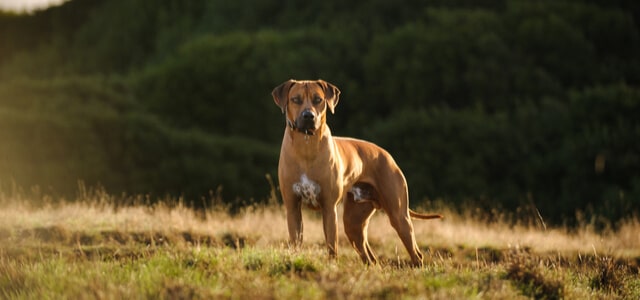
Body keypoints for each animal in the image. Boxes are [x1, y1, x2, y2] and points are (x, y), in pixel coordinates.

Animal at [270, 78, 440, 266]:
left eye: (318, 99)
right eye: (296, 99)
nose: (309, 116)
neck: (306, 145)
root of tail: (387, 155)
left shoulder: (329, 208)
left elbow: (332, 246)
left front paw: (332, 266)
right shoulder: (292, 207)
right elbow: (296, 242)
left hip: (399, 216)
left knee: (416, 253)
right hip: (353, 223)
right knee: (371, 258)